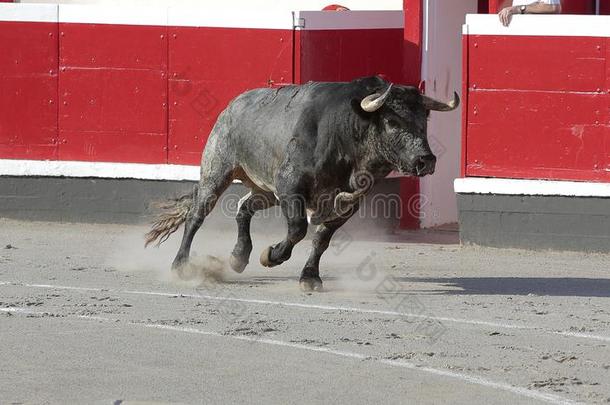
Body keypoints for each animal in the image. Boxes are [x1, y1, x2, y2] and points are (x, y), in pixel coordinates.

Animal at [144, 75, 456, 290]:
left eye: (424, 120)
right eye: (392, 122)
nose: (426, 160)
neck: (346, 134)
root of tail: (232, 106)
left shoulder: (346, 204)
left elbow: (321, 239)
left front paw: (310, 277)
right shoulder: (290, 186)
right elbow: (297, 228)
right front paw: (271, 255)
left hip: (266, 191)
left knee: (244, 208)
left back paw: (238, 257)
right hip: (217, 171)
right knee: (196, 215)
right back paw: (180, 265)